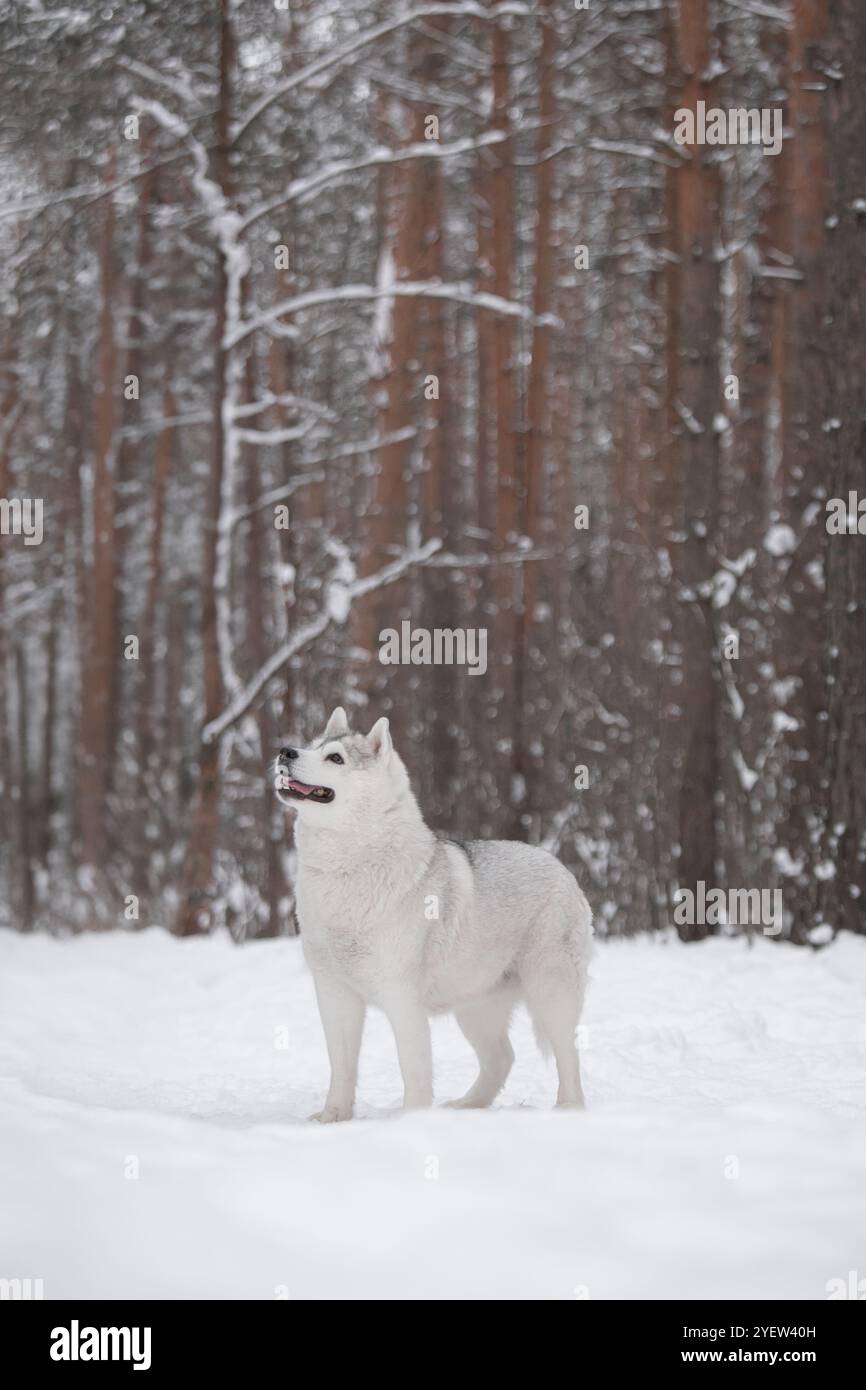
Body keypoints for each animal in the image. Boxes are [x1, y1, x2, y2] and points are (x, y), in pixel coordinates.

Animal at [273, 706, 592, 1117]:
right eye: (311, 745)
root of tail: (561, 867)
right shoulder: (334, 994)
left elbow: (413, 1068)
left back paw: (568, 1107)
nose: (285, 752)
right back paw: (466, 1106)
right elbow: (341, 1068)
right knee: (502, 1058)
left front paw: (412, 1118)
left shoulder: (403, 998)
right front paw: (333, 1118)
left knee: (568, 1055)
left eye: (335, 758)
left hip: (551, 994)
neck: (348, 869)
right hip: (475, 1009)